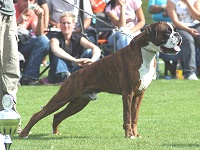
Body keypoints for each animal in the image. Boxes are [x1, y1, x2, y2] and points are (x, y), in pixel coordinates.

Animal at [19, 21, 182, 138]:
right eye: (167, 32)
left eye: (174, 30)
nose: (178, 35)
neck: (145, 52)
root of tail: (74, 73)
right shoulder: (128, 94)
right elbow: (128, 117)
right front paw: (129, 135)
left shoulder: (139, 95)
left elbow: (134, 117)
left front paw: (136, 135)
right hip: (62, 97)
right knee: (38, 115)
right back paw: (24, 134)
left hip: (78, 102)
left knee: (57, 115)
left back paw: (56, 133)